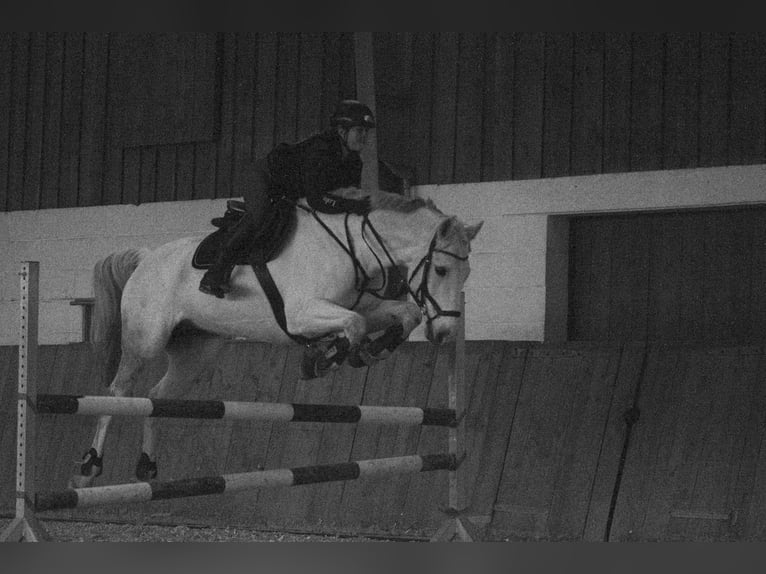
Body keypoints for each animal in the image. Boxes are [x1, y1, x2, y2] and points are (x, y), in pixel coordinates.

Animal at [69, 190, 483, 488]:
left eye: (466, 274)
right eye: (441, 269)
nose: (445, 333)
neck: (352, 250)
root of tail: (147, 257)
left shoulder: (364, 305)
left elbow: (401, 315)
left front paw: (370, 350)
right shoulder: (302, 312)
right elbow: (352, 325)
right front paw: (324, 357)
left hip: (197, 352)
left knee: (157, 398)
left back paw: (147, 466)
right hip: (146, 340)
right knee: (119, 391)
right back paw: (89, 466)